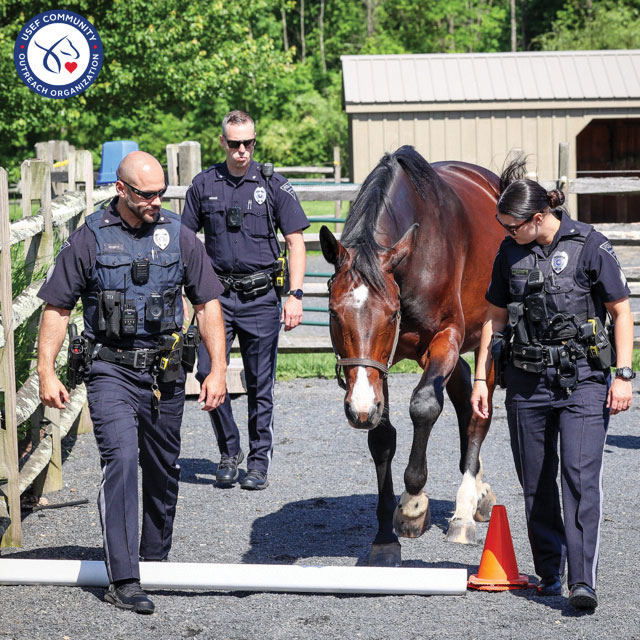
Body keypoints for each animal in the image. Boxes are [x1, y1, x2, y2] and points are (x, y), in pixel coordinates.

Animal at [320, 144, 504, 564]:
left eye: (391, 313)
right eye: (334, 313)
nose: (357, 408)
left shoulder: (446, 337)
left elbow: (423, 407)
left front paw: (413, 503)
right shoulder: (376, 371)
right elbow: (381, 436)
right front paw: (384, 538)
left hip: (488, 340)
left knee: (478, 415)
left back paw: (465, 508)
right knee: (464, 401)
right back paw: (479, 491)